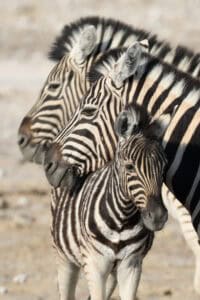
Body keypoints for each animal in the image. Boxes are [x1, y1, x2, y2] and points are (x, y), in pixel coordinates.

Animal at [50, 104, 169, 300]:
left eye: (164, 167)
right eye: (130, 167)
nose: (158, 216)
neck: (122, 217)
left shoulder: (131, 265)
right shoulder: (94, 264)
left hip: (113, 272)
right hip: (65, 258)